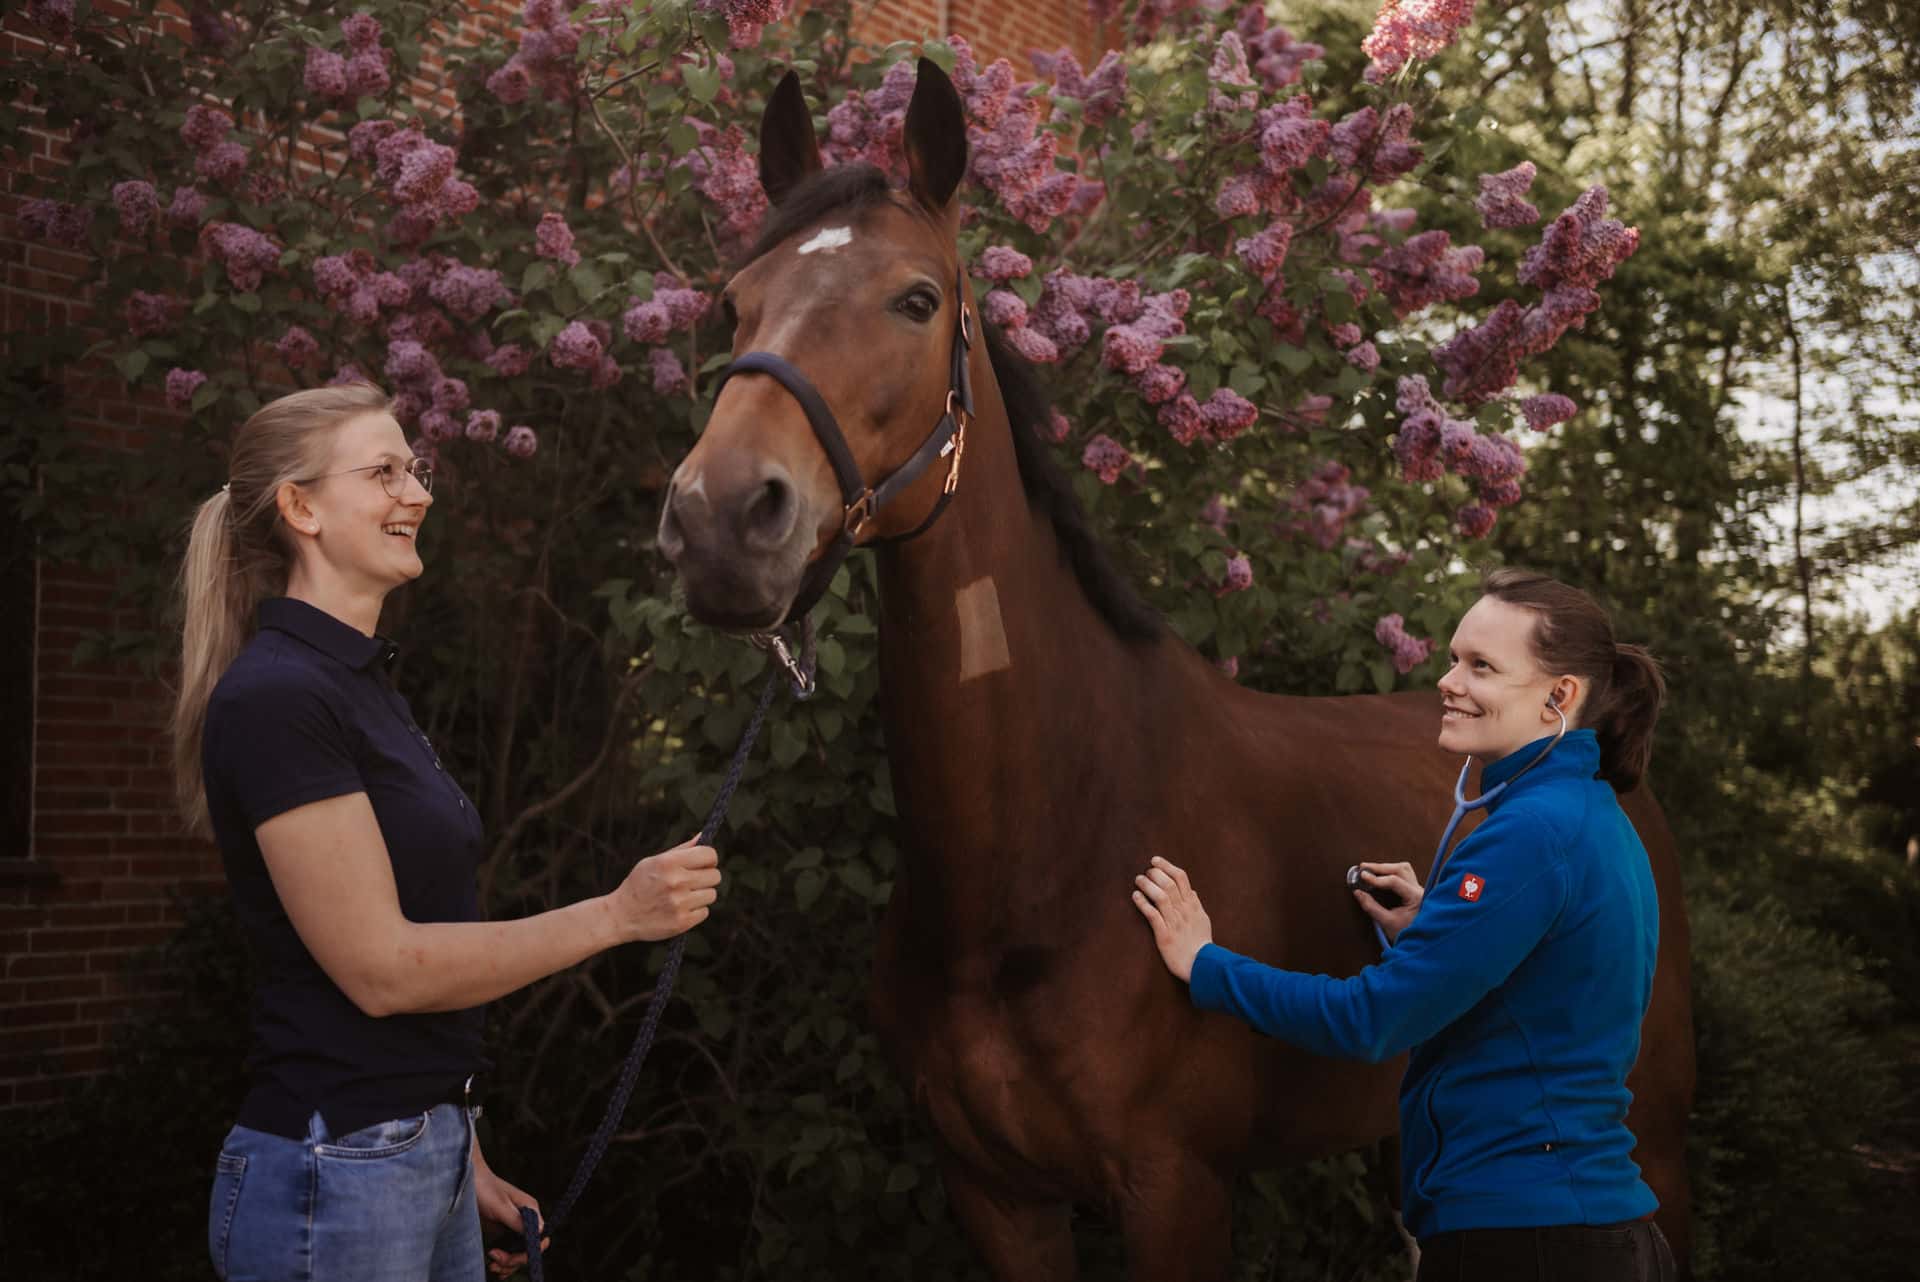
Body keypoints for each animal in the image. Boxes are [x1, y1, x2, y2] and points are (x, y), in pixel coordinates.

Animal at [664, 65, 1697, 1282]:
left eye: (915, 300)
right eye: (736, 302)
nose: (721, 518)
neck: (1052, 853)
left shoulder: (1177, 1194)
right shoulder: (998, 1197)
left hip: (1656, 1146)